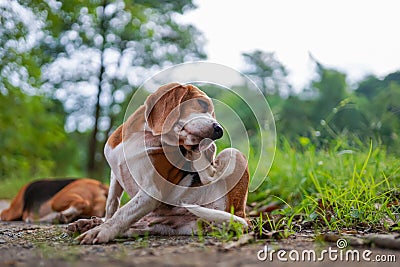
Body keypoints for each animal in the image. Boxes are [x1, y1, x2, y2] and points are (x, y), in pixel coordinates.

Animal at [70, 83, 248, 245]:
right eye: (202, 104)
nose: (219, 130)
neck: (143, 136)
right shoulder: (115, 175)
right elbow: (112, 205)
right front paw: (102, 223)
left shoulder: (150, 192)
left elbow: (122, 212)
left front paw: (101, 230)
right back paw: (90, 223)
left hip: (234, 154)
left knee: (210, 174)